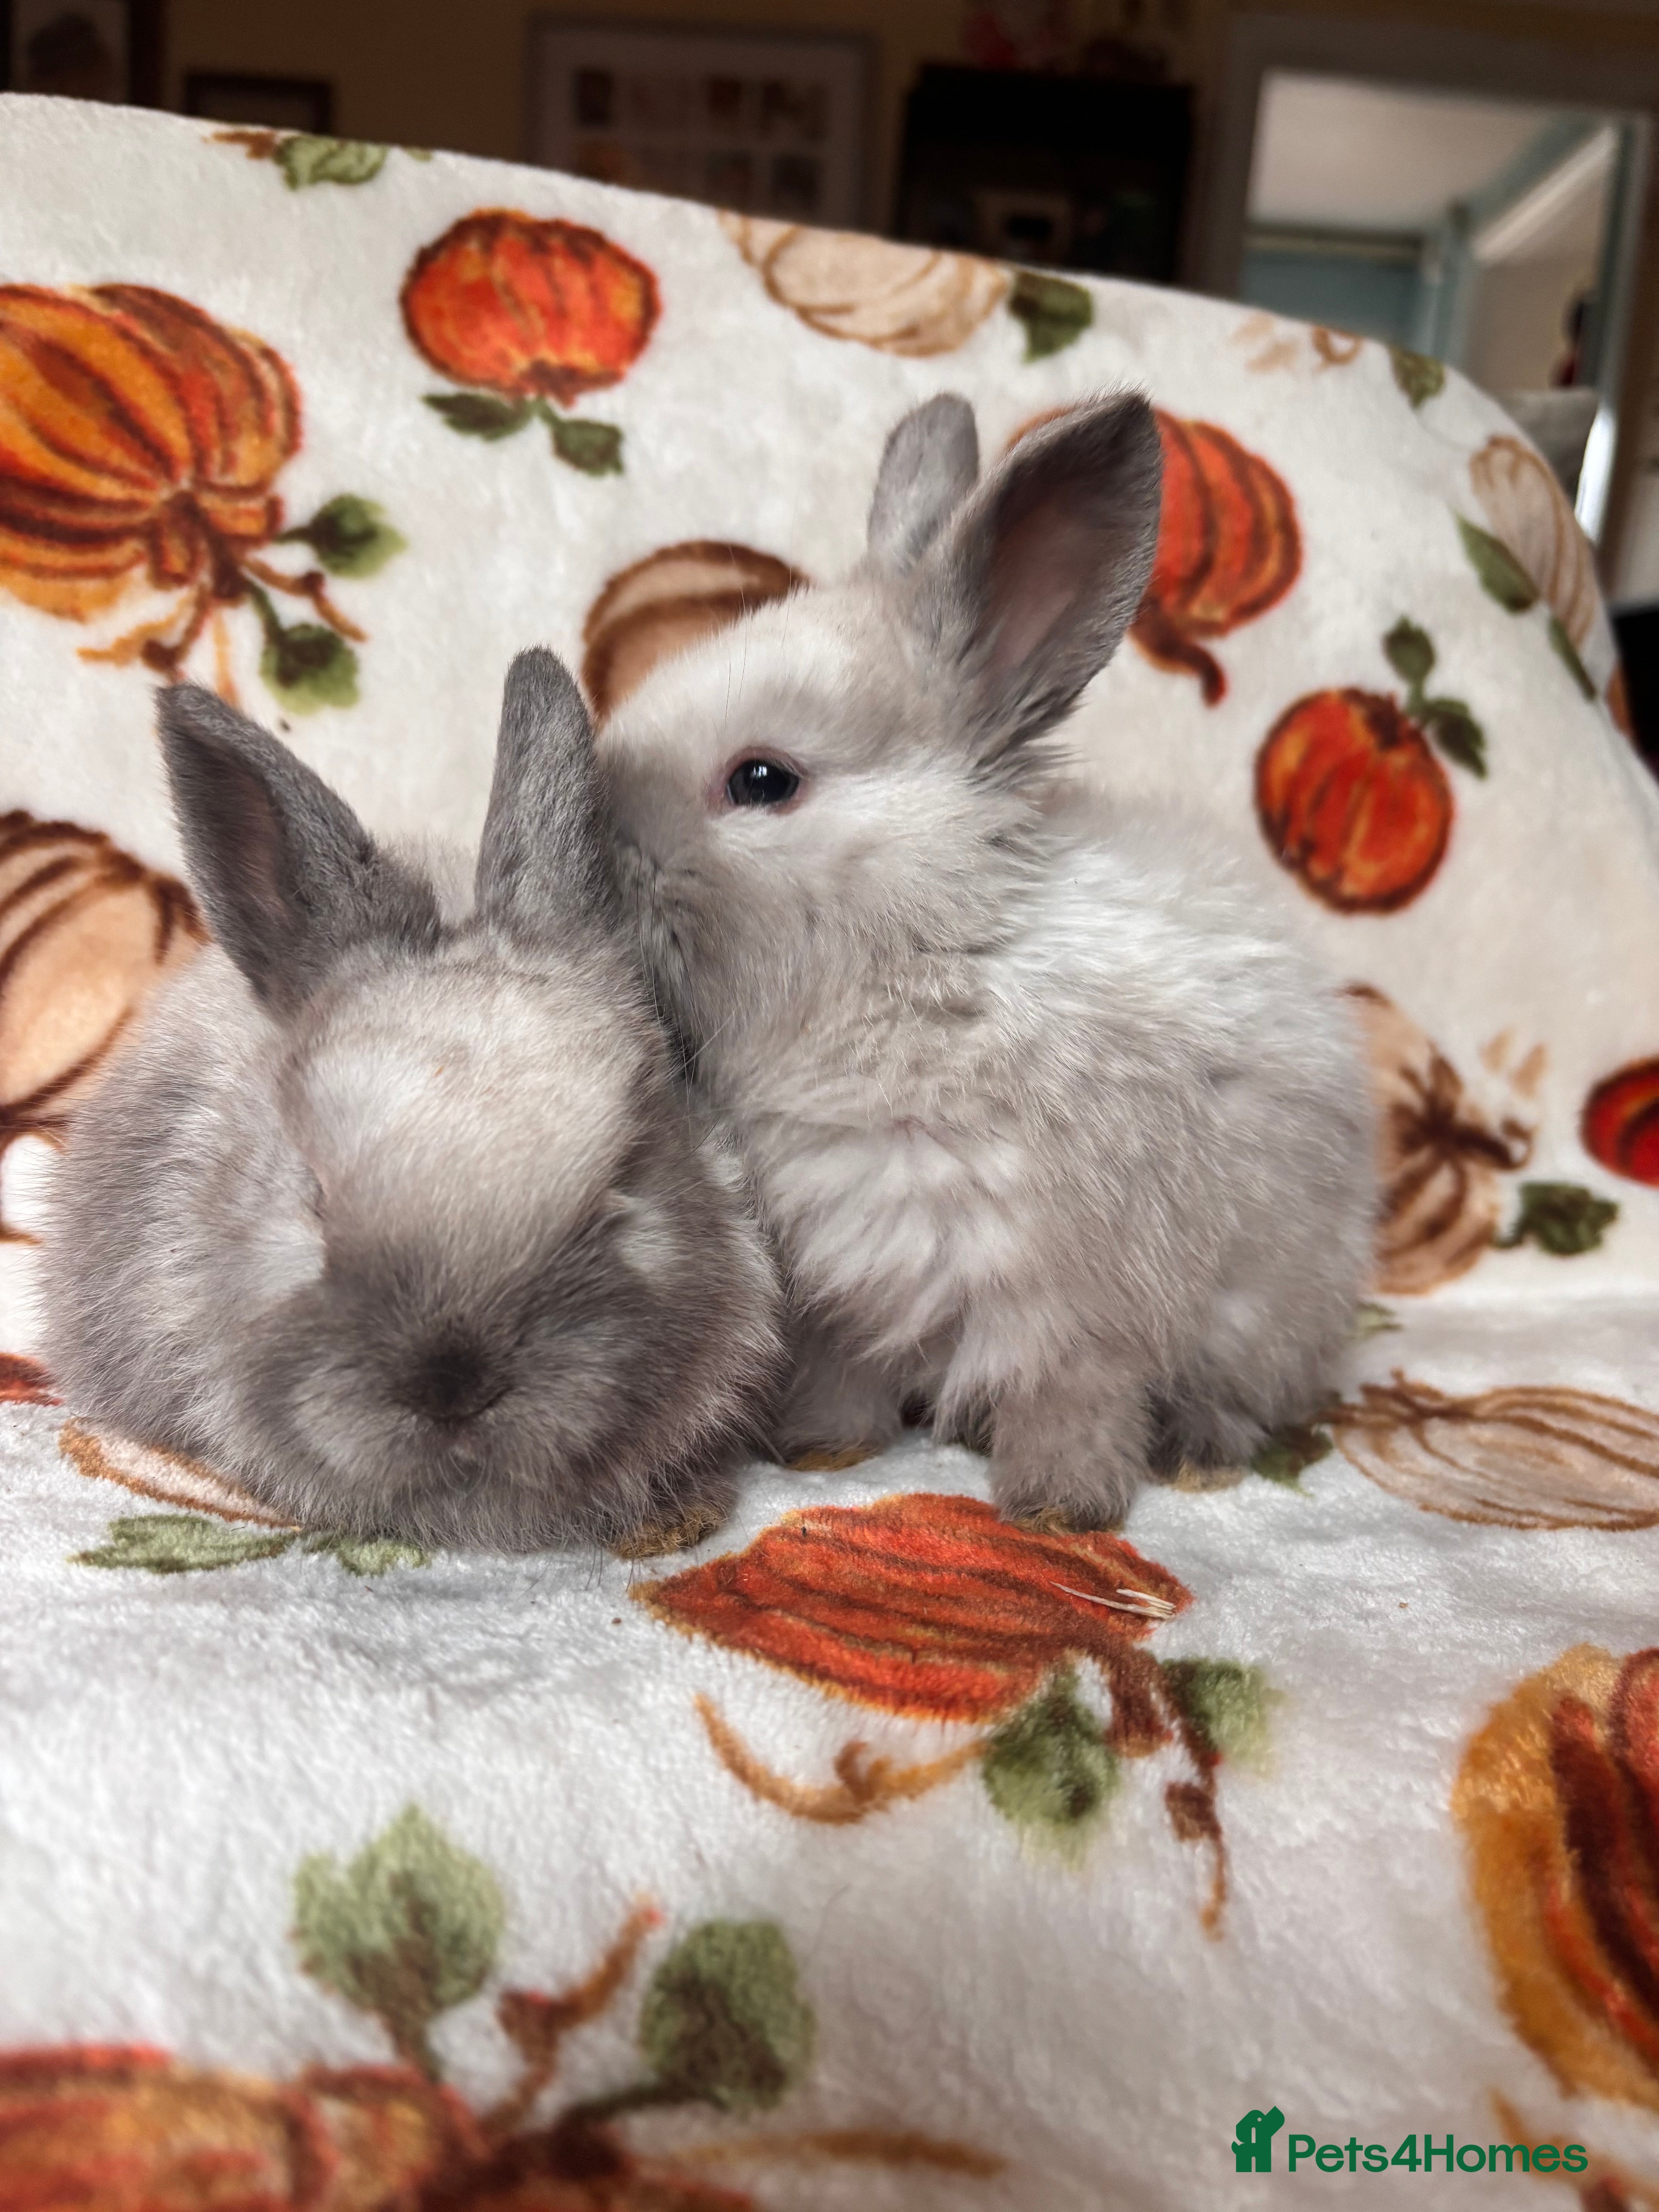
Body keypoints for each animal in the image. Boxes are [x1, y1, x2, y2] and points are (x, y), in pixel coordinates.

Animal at [594, 391, 1377, 1529]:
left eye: (761, 780)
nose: (602, 846)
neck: (928, 961)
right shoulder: (845, 1289)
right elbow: (848, 1380)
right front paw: (819, 1452)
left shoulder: (1077, 1305)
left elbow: (1072, 1403)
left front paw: (1057, 1508)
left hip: (1268, 1308)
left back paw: (1202, 1454)